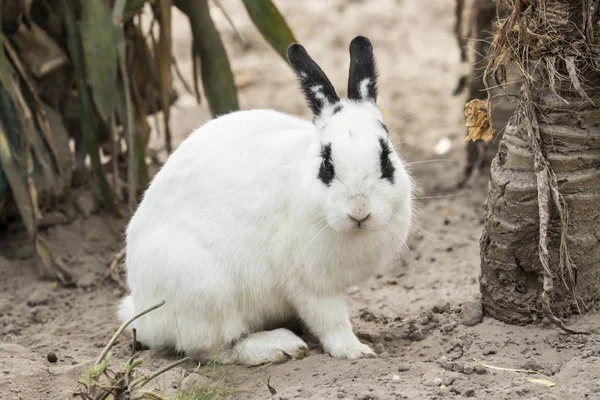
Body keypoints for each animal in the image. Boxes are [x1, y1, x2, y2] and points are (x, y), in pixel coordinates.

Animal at [119, 36, 414, 364]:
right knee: (211, 350)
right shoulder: (311, 286)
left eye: (386, 159)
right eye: (327, 165)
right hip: (206, 291)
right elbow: (331, 322)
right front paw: (355, 351)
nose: (359, 211)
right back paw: (280, 346)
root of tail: (144, 316)